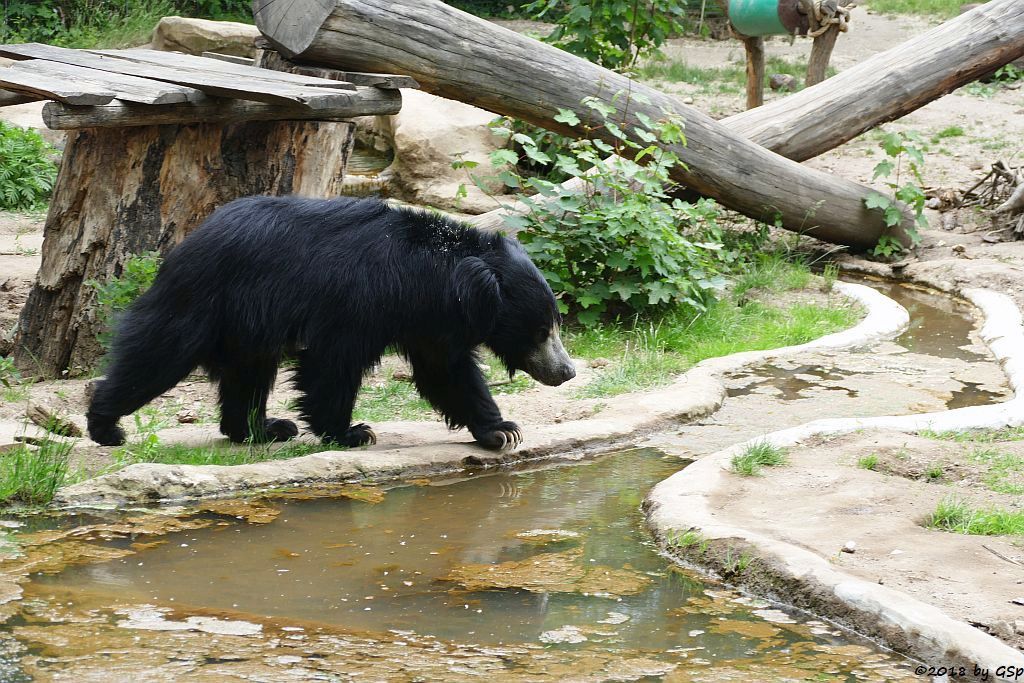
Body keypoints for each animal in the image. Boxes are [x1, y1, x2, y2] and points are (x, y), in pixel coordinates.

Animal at [88, 197, 577, 450]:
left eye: (553, 325)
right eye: (541, 332)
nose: (567, 371)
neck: (436, 276)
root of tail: (190, 240)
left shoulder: (430, 319)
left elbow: (448, 372)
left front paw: (501, 430)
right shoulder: (360, 300)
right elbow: (333, 362)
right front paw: (351, 432)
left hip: (247, 324)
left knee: (247, 374)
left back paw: (263, 429)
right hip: (204, 301)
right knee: (156, 355)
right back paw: (106, 427)